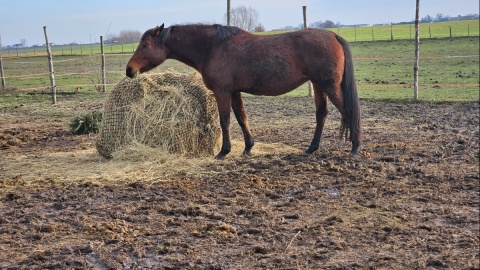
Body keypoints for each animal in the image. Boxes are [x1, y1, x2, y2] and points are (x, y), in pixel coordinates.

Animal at [125, 24, 362, 159]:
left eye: (145, 45)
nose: (129, 70)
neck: (213, 46)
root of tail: (333, 36)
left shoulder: (222, 92)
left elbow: (225, 121)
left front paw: (223, 151)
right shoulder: (234, 93)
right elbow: (242, 118)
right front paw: (248, 148)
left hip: (329, 86)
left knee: (348, 111)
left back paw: (355, 148)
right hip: (320, 86)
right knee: (321, 115)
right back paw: (312, 148)